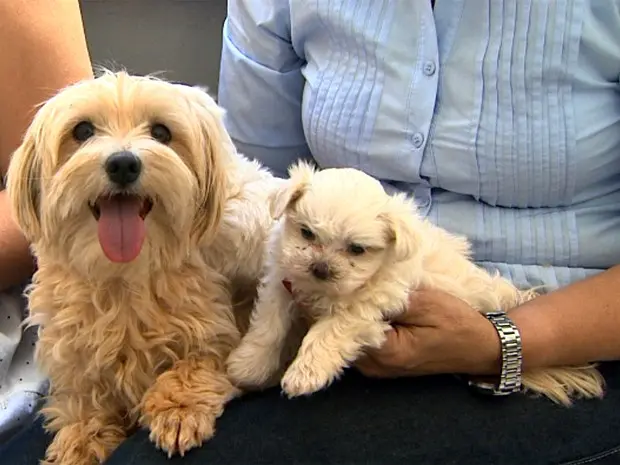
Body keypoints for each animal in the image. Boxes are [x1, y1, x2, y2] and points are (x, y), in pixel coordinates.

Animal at [5, 70, 276, 462]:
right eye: (82, 130)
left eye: (161, 132)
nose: (123, 163)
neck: (123, 275)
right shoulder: (73, 348)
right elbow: (82, 396)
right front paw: (81, 438)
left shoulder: (217, 325)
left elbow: (199, 359)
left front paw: (178, 408)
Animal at [226, 161, 604, 404]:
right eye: (306, 232)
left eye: (357, 249)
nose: (320, 268)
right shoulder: (281, 282)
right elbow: (268, 326)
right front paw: (248, 365)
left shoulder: (371, 304)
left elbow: (329, 331)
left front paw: (306, 373)